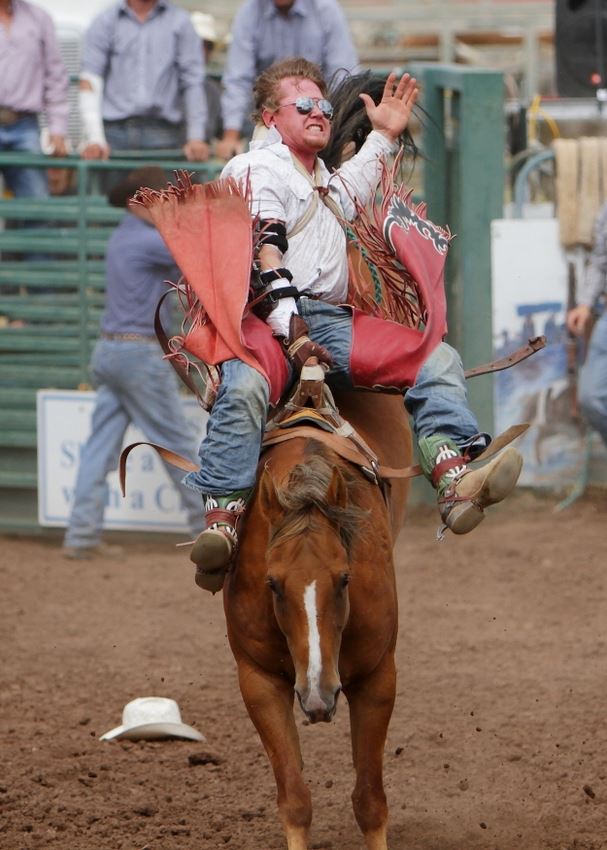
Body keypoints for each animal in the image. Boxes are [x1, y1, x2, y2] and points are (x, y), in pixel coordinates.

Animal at [223, 389, 411, 850]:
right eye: (272, 584)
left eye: (344, 579)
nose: (318, 695)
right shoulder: (258, 680)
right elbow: (294, 799)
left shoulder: (378, 678)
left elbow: (370, 801)